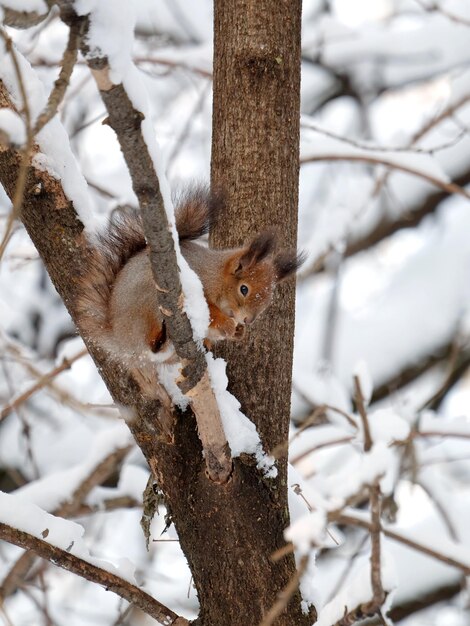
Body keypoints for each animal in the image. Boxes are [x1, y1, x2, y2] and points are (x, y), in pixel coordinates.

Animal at [76, 183, 304, 392]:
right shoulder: (197, 291)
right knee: (152, 342)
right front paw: (228, 325)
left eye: (268, 299)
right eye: (244, 289)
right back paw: (161, 336)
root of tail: (119, 338)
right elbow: (210, 313)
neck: (216, 277)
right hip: (146, 302)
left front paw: (238, 331)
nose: (248, 320)